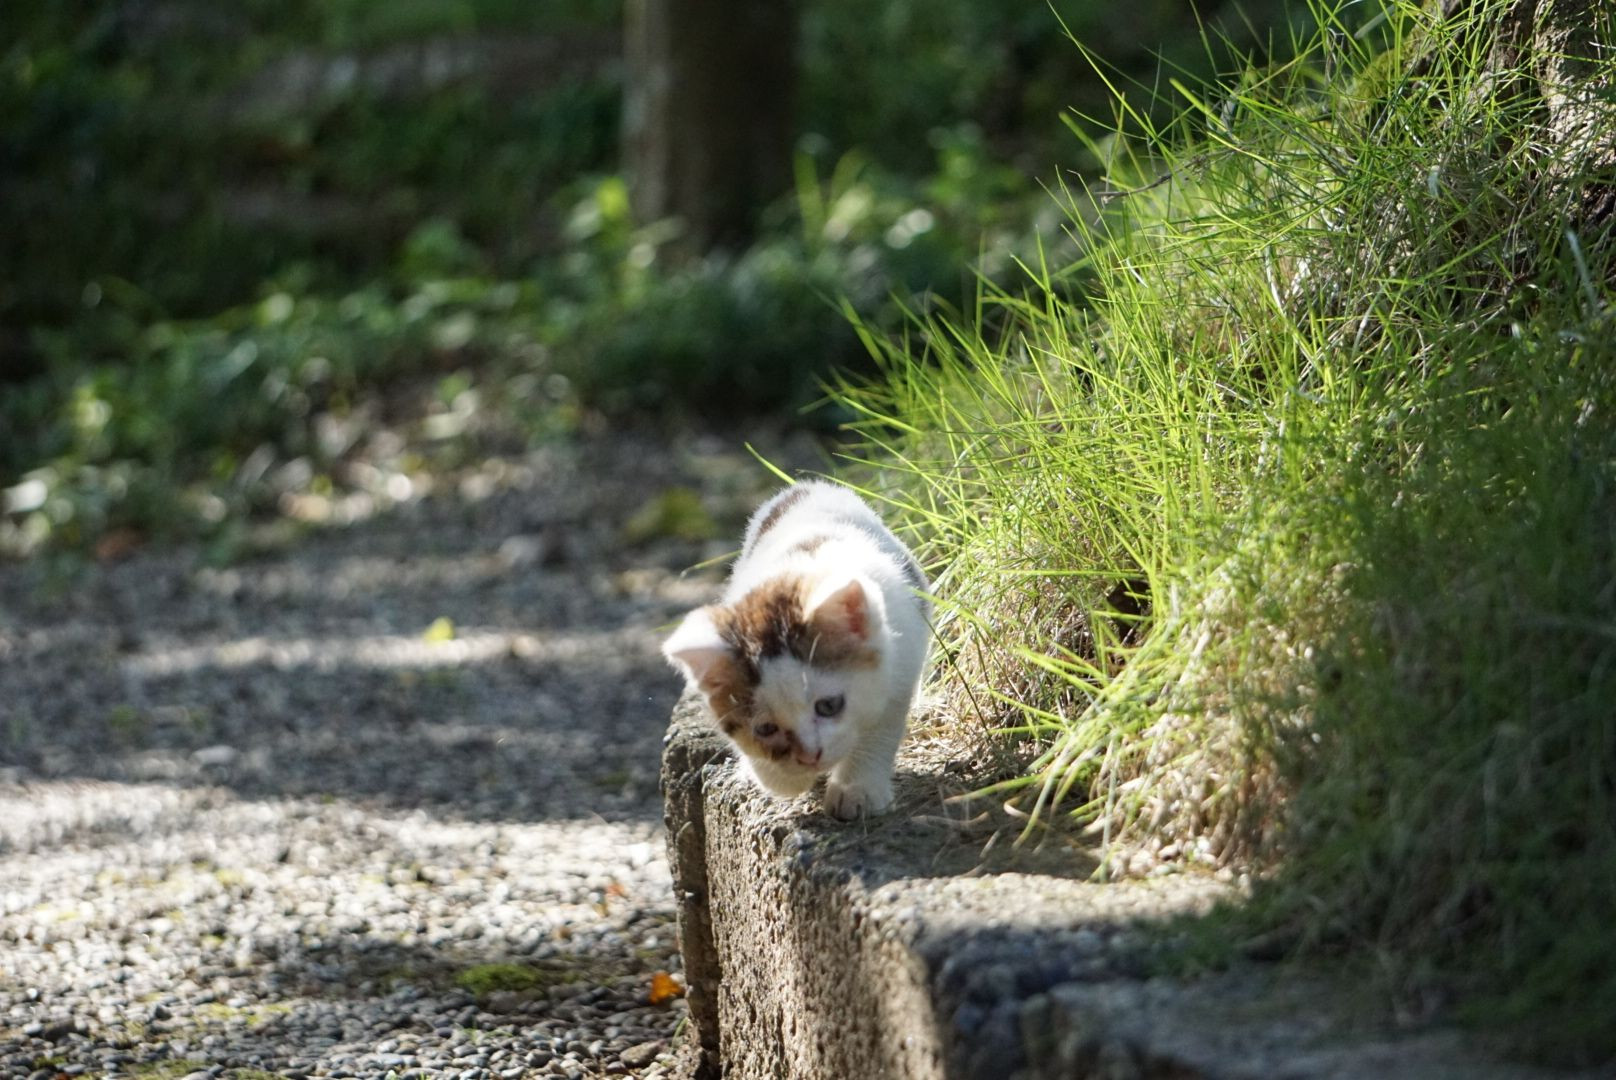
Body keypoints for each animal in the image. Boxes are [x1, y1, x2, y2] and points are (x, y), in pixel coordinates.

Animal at [662, 480, 930, 819]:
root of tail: (809, 486)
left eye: (828, 706)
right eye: (765, 729)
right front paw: (783, 777)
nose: (809, 755)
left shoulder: (904, 659)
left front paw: (857, 790)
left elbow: (879, 728)